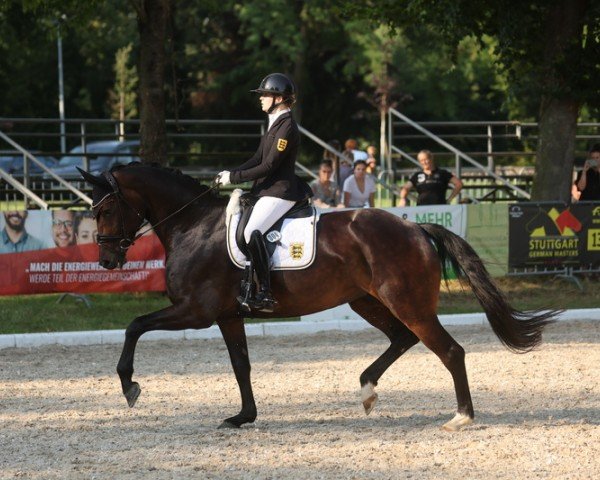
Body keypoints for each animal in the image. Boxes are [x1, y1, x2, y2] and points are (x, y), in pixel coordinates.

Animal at [78, 164, 556, 432]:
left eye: (105, 209)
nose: (106, 261)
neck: (192, 226)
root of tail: (416, 227)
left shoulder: (195, 311)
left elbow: (135, 325)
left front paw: (129, 385)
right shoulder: (228, 315)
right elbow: (240, 366)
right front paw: (243, 417)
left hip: (407, 302)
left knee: (449, 350)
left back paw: (461, 417)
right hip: (367, 301)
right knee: (402, 339)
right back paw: (367, 389)